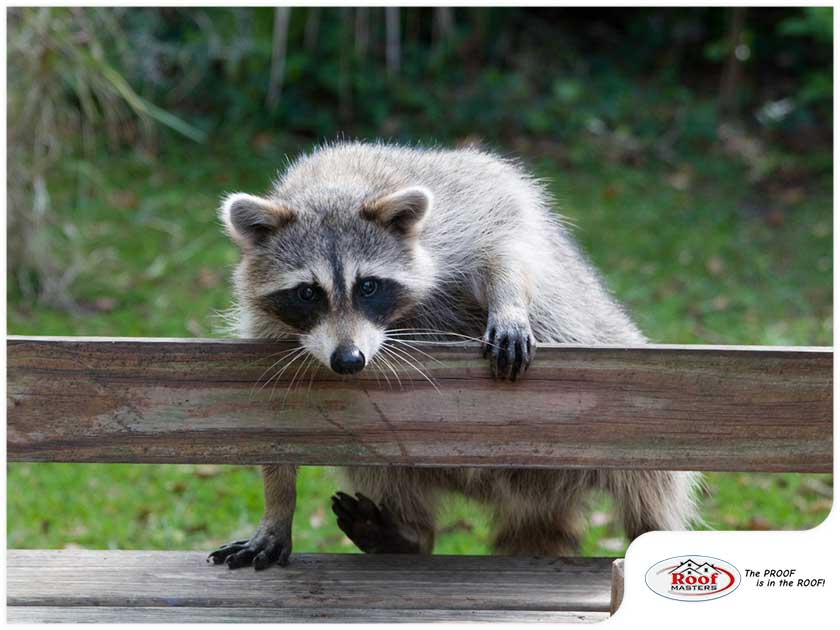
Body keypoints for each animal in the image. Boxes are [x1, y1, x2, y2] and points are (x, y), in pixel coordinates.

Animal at [208, 141, 699, 570]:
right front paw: (279, 505)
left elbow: (507, 247)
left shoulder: (469, 205)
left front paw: (508, 301)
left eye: (368, 286)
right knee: (378, 465)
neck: (339, 183)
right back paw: (409, 534)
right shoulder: (273, 328)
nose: (349, 361)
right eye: (308, 293)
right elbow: (275, 423)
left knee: (651, 483)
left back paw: (652, 527)